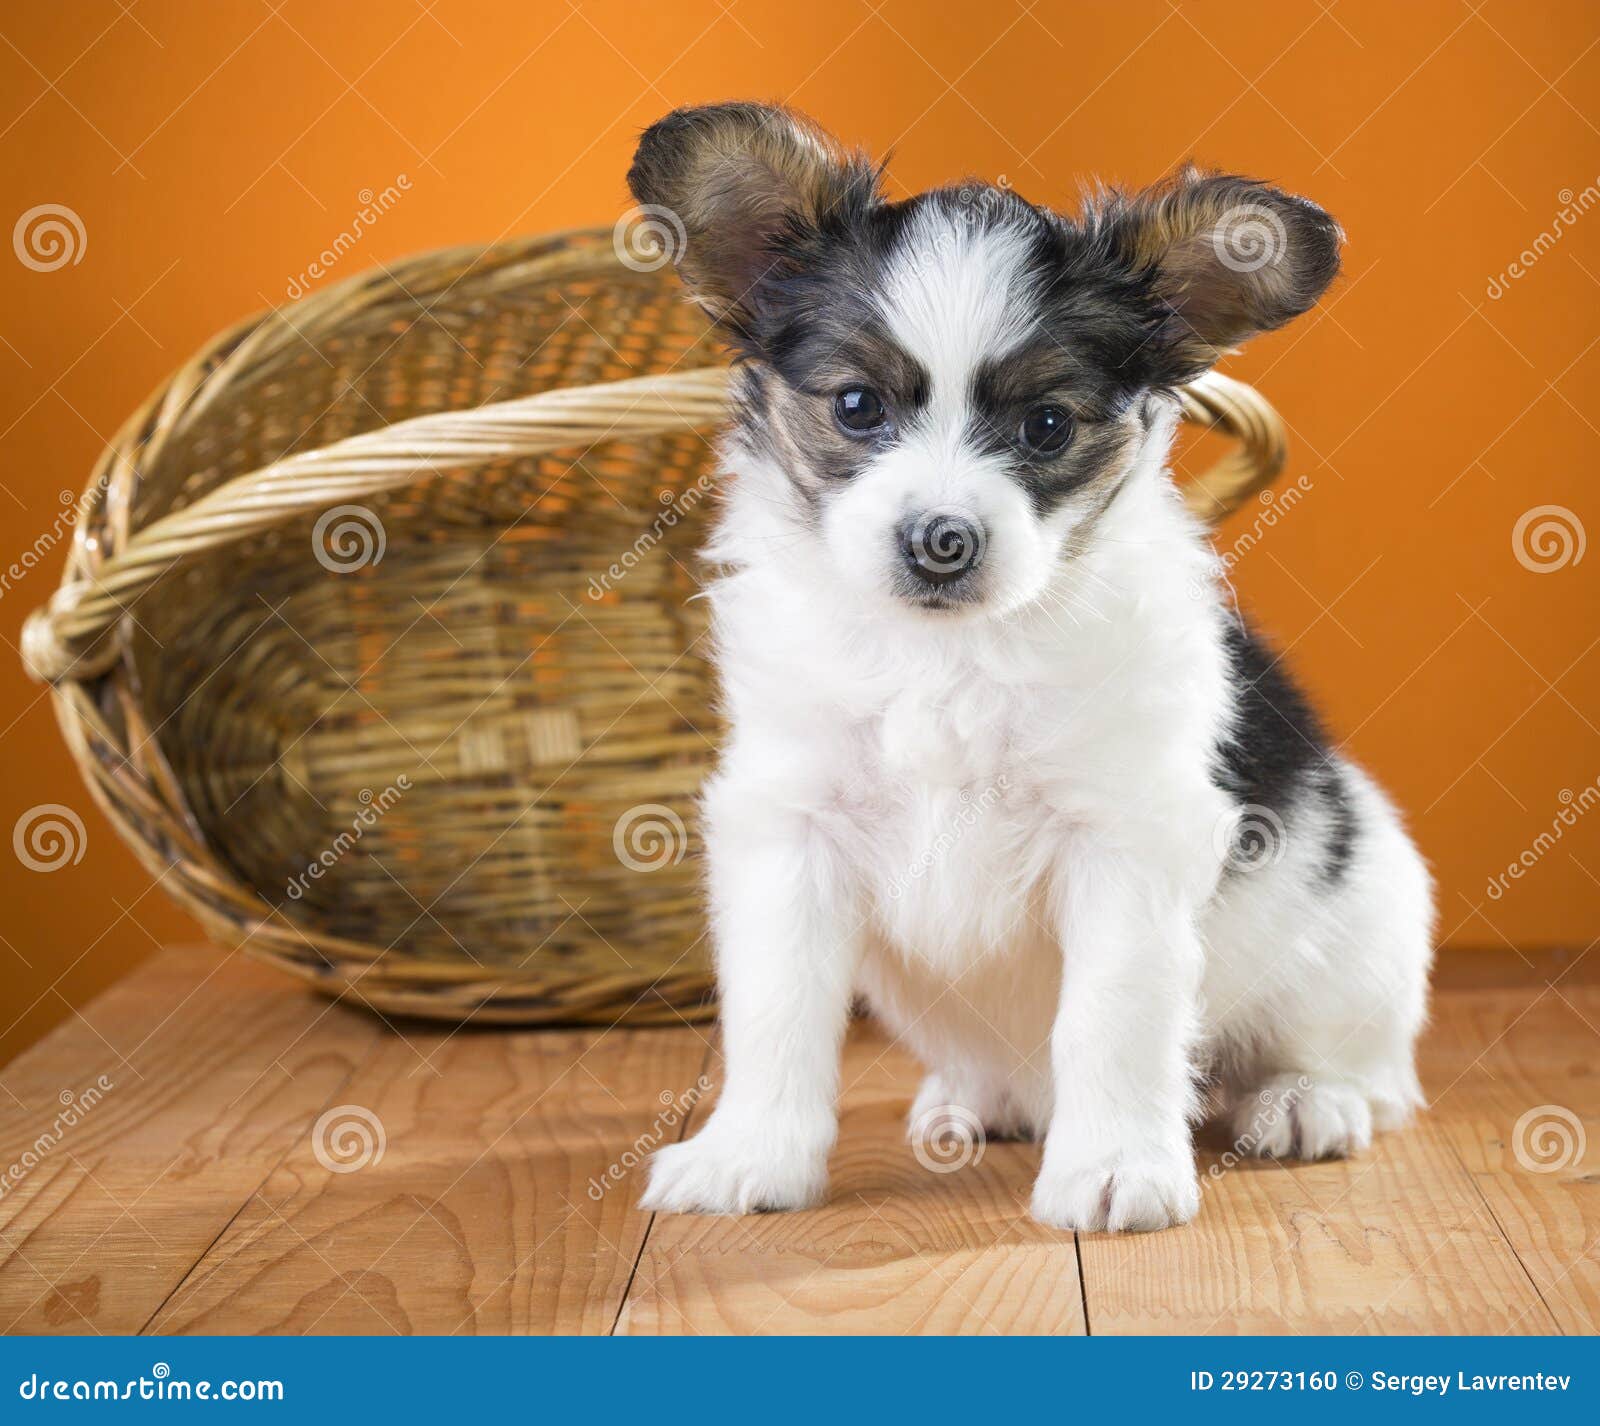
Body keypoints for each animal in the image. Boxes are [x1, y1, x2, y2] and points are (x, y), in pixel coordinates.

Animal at [627, 105, 1440, 1235]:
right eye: (856, 406)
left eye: (1045, 425)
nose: (941, 539)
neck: (947, 654)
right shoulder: (791, 830)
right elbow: (777, 1012)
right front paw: (750, 1153)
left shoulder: (1123, 838)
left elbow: (1111, 1015)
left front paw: (1113, 1167)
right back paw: (976, 1100)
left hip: (1361, 929)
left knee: (1369, 1070)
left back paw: (1304, 1101)